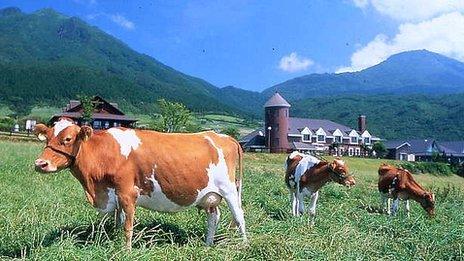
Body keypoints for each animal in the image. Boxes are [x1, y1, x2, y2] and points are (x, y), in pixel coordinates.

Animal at [33, 118, 246, 248]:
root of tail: (223, 136)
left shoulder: (127, 193)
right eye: (47, 138)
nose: (40, 164)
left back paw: (244, 246)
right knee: (214, 217)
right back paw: (208, 245)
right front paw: (115, 242)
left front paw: (126, 250)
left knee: (239, 217)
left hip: (229, 190)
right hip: (210, 196)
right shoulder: (114, 195)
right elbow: (117, 223)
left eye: (68, 139)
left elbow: (128, 227)